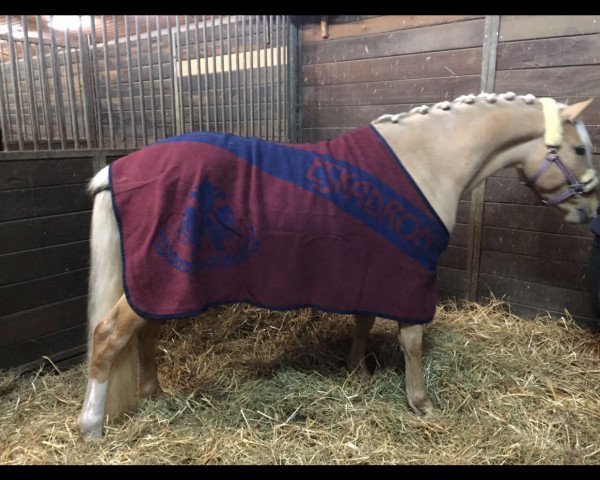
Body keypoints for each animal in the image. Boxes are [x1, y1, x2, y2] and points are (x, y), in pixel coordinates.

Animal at [77, 93, 596, 438]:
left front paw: (355, 371)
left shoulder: (372, 269)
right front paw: (422, 403)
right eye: (580, 149)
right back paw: (92, 426)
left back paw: (153, 395)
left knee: (144, 334)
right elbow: (411, 342)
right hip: (162, 281)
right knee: (109, 336)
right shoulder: (410, 277)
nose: (591, 211)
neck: (425, 160)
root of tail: (116, 171)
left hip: (156, 285)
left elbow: (363, 320)